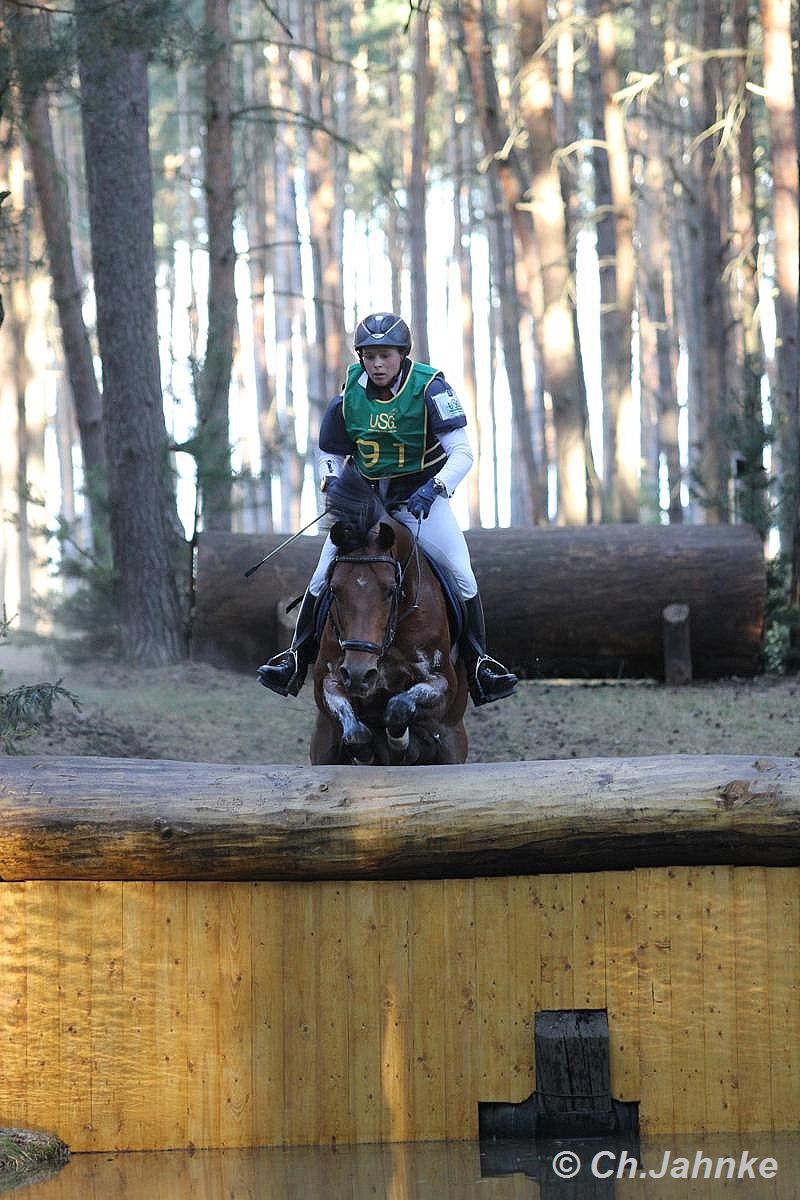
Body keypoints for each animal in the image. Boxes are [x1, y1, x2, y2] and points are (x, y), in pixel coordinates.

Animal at [309, 470, 470, 768]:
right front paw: (368, 750)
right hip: (322, 744)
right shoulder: (329, 681)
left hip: (454, 743)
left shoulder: (443, 684)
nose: (359, 674)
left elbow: (399, 707)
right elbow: (355, 731)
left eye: (390, 589)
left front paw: (402, 744)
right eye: (334, 589)